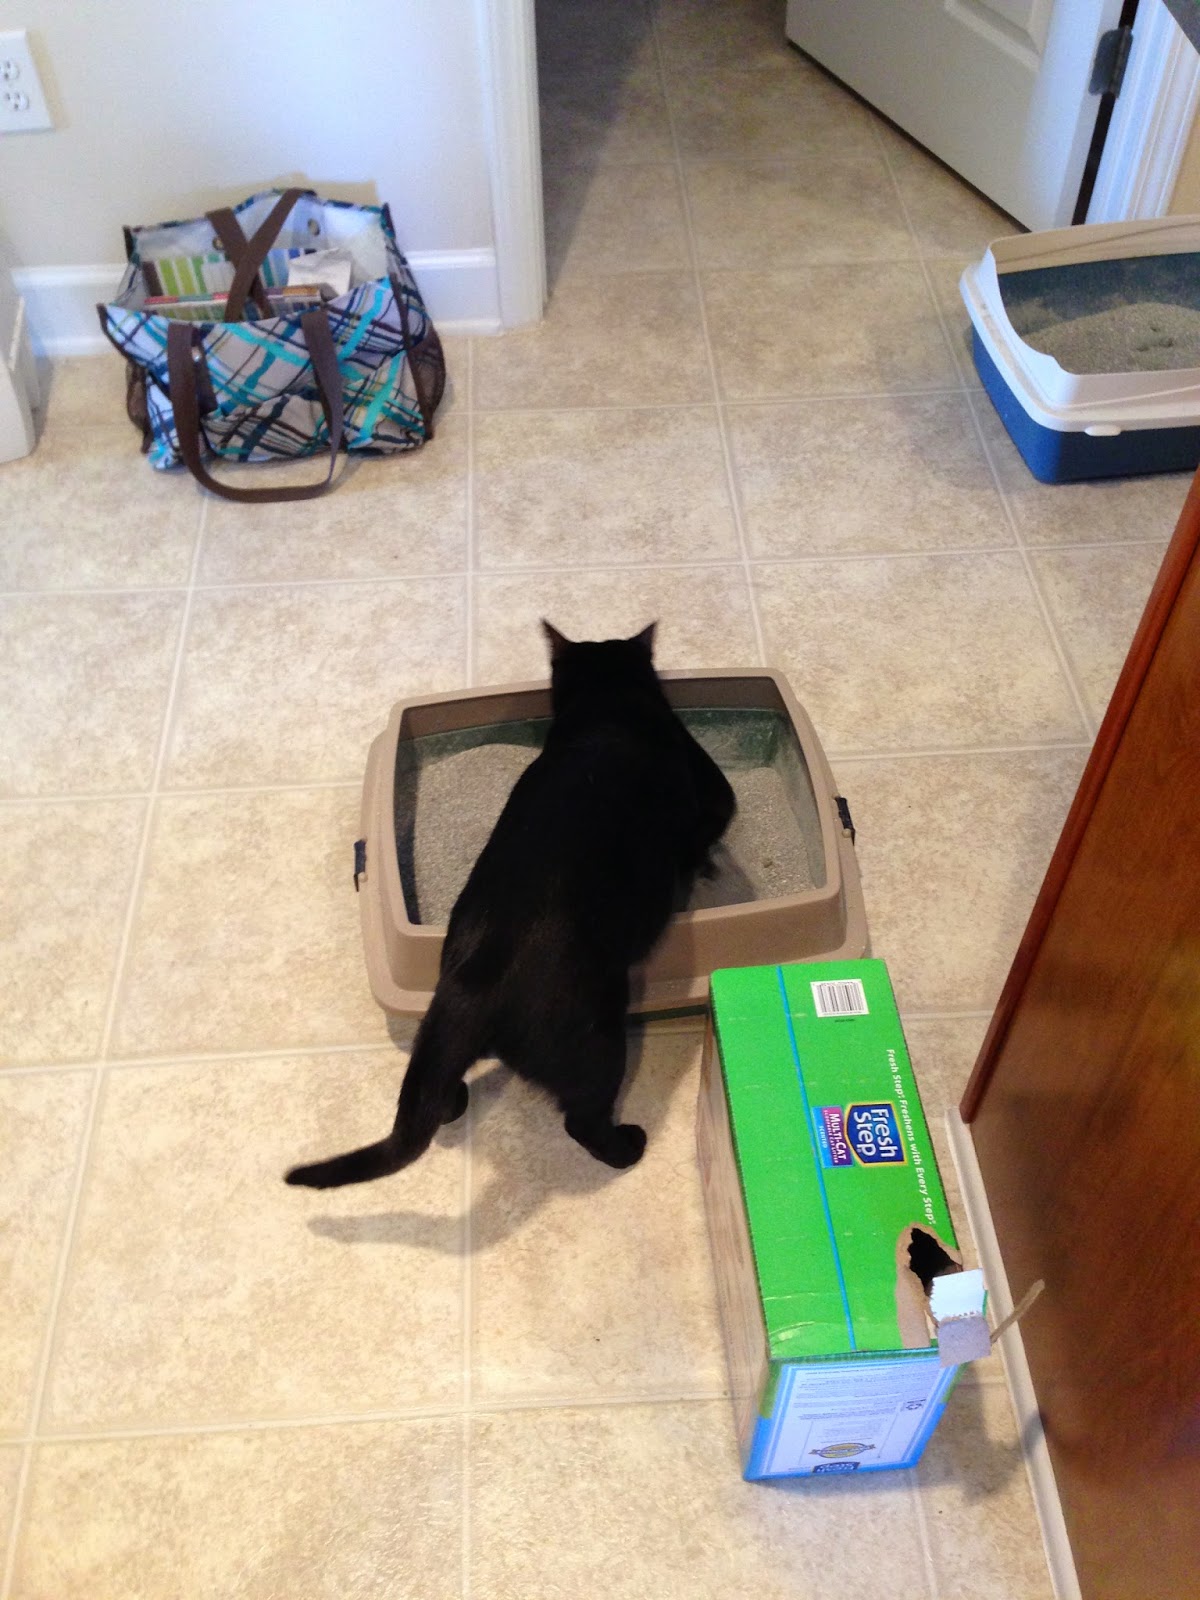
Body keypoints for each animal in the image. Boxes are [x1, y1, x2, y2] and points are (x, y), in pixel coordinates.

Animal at [285, 620, 735, 1190]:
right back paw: (629, 1146)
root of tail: (470, 986)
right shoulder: (714, 796)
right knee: (582, 1122)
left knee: (437, 1097)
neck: (607, 706)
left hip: (439, 1042)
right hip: (601, 1043)